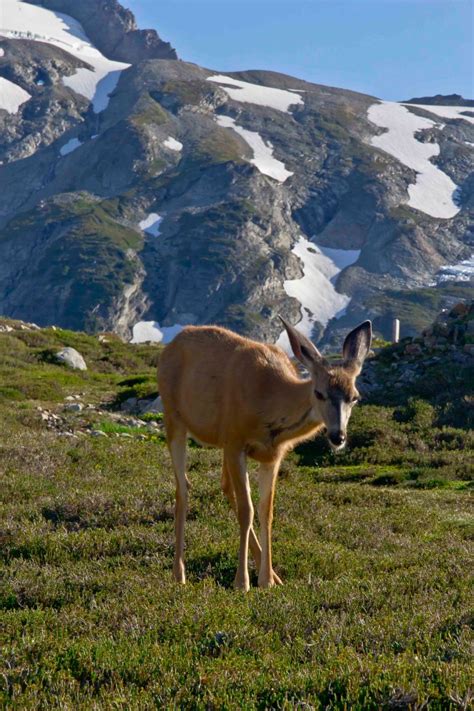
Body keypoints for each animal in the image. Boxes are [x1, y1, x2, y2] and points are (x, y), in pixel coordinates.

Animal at [157, 320, 372, 592]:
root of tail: (172, 343)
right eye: (319, 393)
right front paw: (242, 582)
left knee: (224, 486)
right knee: (183, 489)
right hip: (173, 416)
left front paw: (268, 579)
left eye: (355, 397)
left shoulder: (272, 456)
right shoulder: (235, 440)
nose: (338, 436)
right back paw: (179, 573)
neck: (268, 400)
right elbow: (247, 510)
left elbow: (266, 511)